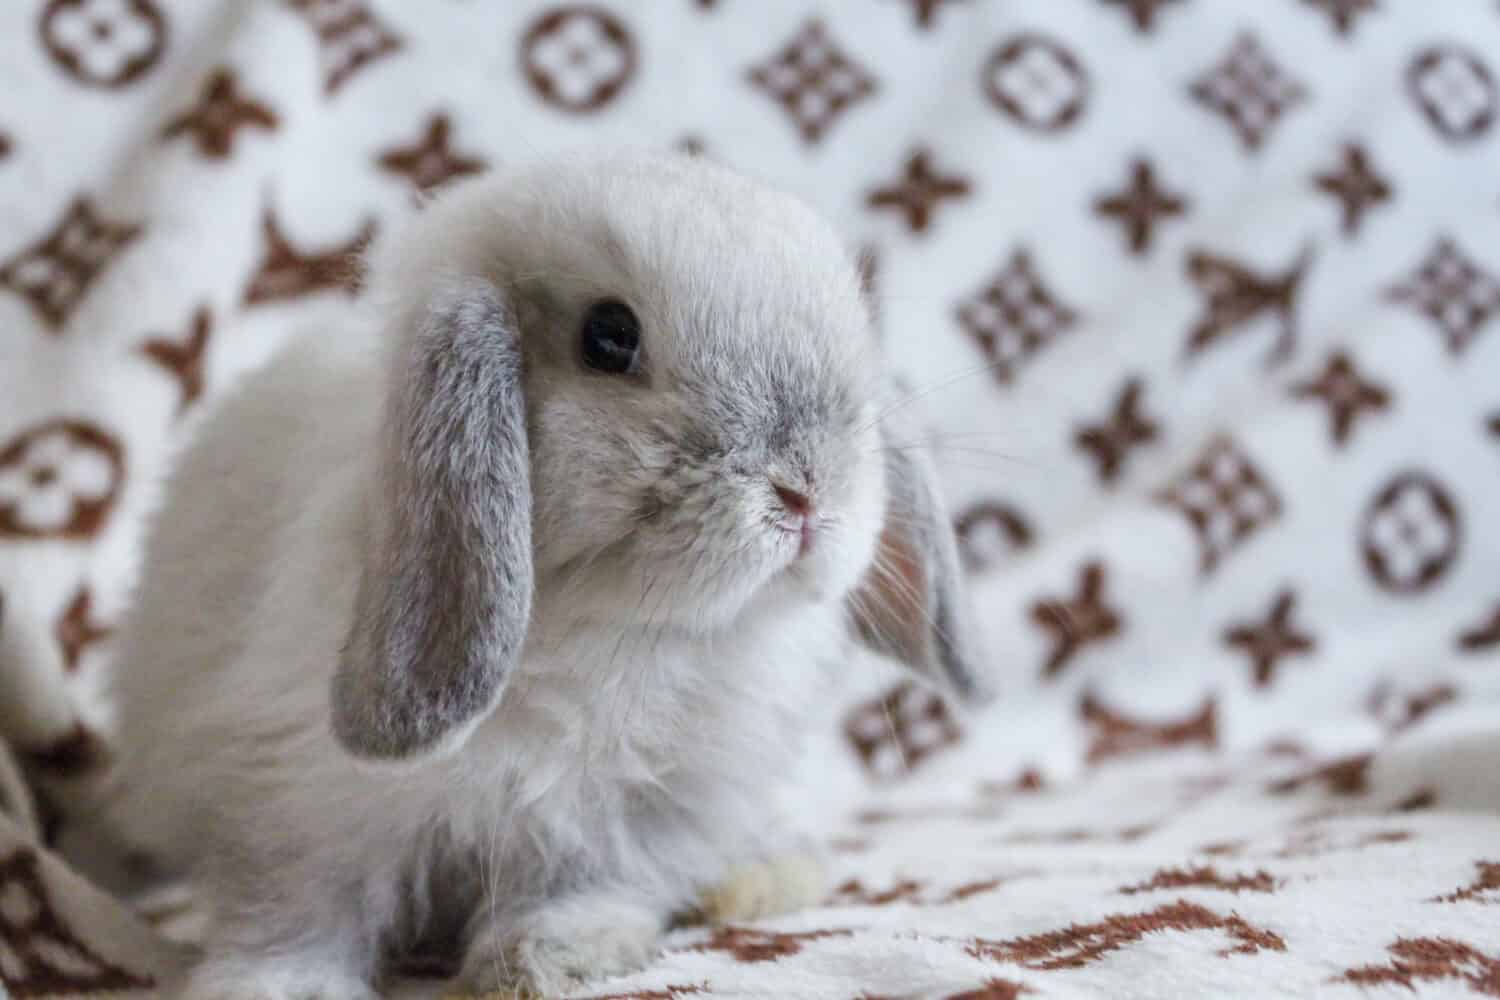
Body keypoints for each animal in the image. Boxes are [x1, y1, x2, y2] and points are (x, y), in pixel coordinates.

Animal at [99, 150, 990, 1000]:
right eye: (609, 338)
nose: (808, 491)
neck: (605, 634)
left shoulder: (633, 814)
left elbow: (584, 886)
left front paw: (547, 960)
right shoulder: (296, 803)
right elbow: (296, 908)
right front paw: (276, 986)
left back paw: (755, 879)